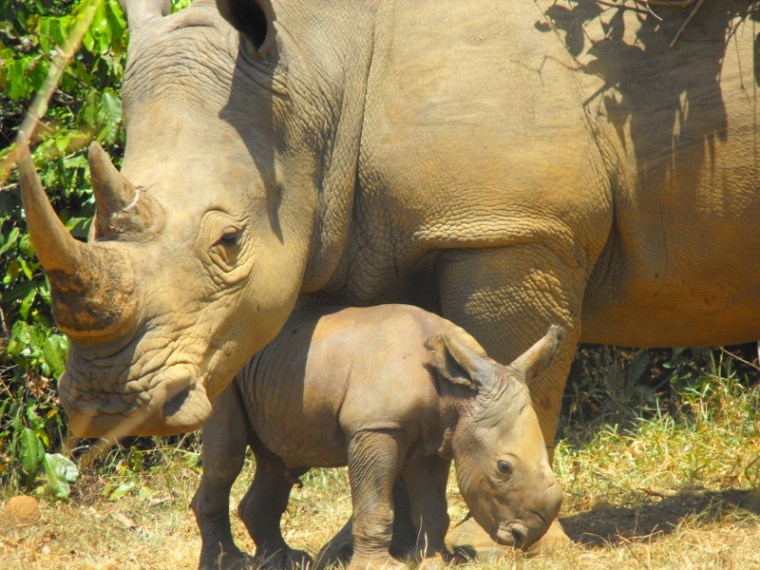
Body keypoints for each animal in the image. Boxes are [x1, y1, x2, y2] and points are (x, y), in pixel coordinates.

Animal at [191, 304, 563, 569]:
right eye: (504, 468)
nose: (523, 536)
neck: (456, 392)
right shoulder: (375, 426)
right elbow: (375, 502)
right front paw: (381, 566)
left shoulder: (435, 438)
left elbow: (432, 505)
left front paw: (434, 561)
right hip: (224, 369)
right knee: (227, 456)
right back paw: (229, 563)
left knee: (279, 461)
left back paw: (284, 560)